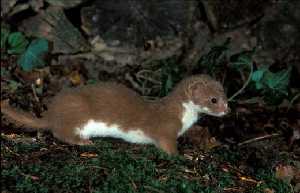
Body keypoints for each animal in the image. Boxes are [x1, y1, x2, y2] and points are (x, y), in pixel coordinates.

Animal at [1, 74, 229, 155]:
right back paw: (84, 142)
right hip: (78, 114)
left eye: (225, 94)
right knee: (61, 133)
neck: (184, 118)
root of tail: (52, 113)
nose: (227, 109)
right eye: (213, 100)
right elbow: (166, 145)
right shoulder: (165, 129)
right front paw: (179, 157)